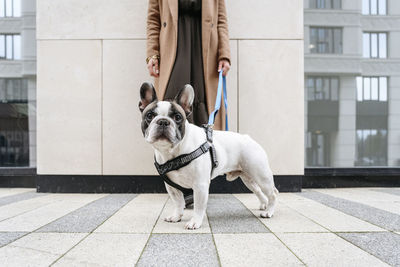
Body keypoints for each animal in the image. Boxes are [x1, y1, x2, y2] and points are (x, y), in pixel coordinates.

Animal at [140, 83, 278, 230]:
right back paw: (264, 205)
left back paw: (269, 212)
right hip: (248, 178)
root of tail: (249, 138)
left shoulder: (200, 185)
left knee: (273, 193)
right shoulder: (172, 187)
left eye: (177, 117)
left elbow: (199, 207)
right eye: (149, 115)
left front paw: (195, 222)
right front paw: (176, 216)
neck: (173, 151)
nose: (163, 122)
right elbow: (178, 203)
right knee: (258, 191)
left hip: (261, 174)